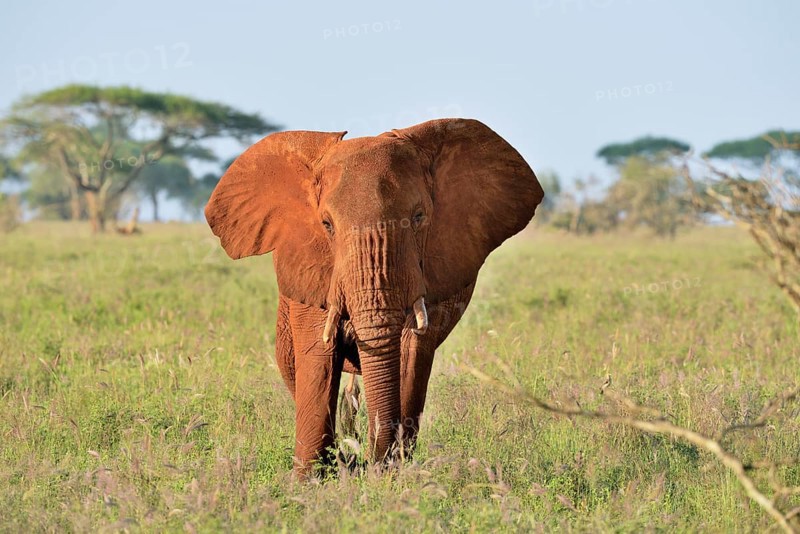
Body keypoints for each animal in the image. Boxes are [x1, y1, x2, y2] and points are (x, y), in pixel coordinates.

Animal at [205, 118, 544, 476]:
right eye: (327, 224)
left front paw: (391, 473)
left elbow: (410, 350)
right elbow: (318, 358)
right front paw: (310, 481)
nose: (368, 463)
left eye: (419, 217)